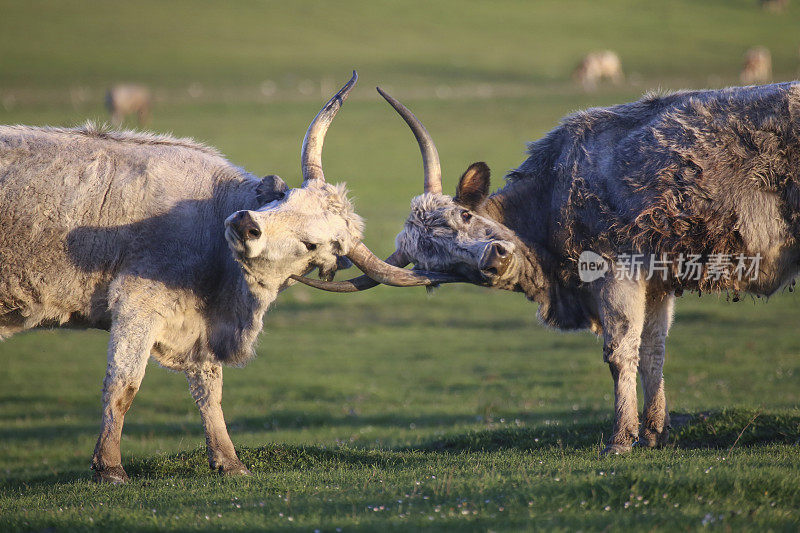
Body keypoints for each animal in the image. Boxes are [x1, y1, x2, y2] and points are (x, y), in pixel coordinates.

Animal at [0, 71, 404, 482]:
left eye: (311, 244)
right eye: (284, 199)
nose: (245, 224)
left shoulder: (199, 328)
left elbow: (209, 389)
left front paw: (228, 461)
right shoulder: (137, 304)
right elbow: (123, 384)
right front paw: (109, 467)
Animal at [296, 82, 800, 454]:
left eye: (464, 216)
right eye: (443, 267)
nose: (494, 259)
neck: (555, 189)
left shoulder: (618, 270)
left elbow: (620, 350)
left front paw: (620, 440)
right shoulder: (656, 282)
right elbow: (651, 350)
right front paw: (655, 433)